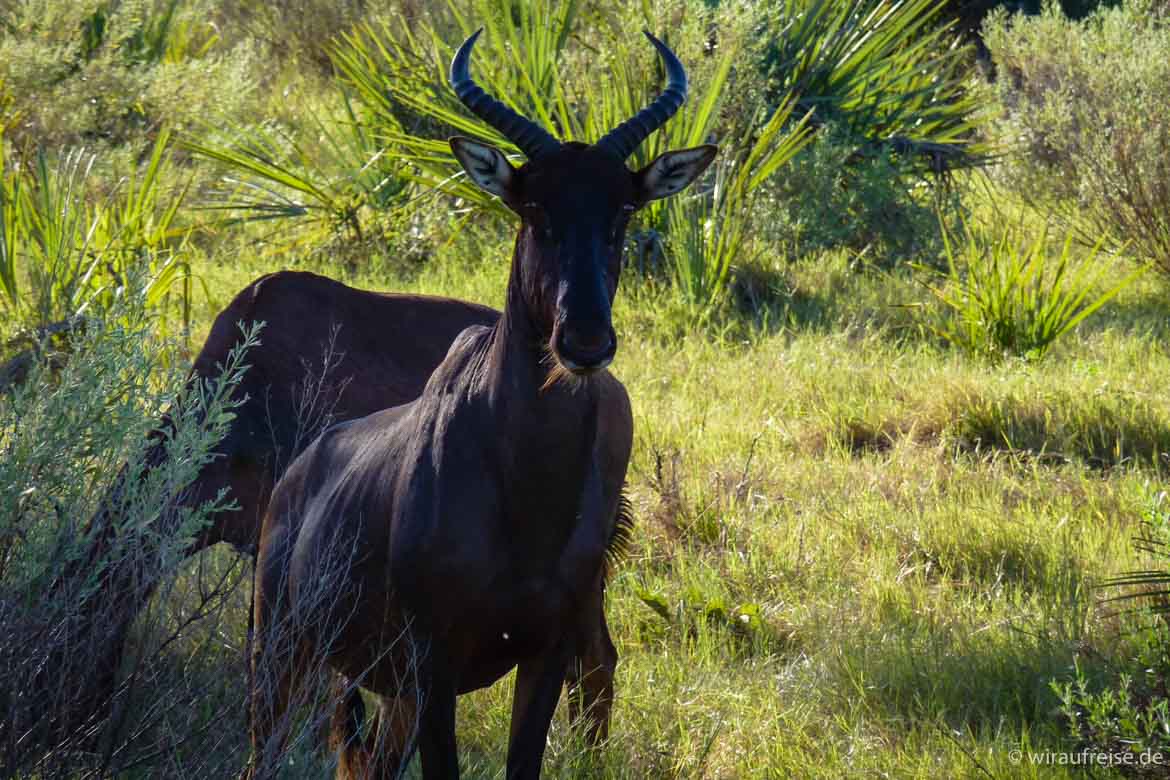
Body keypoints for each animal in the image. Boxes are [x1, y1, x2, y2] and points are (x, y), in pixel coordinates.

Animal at [251, 27, 716, 776]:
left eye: (622, 207)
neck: (523, 494)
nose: (585, 340)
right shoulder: (435, 661)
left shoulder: (544, 652)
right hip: (283, 652)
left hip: (385, 691)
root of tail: (300, 473)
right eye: (532, 206)